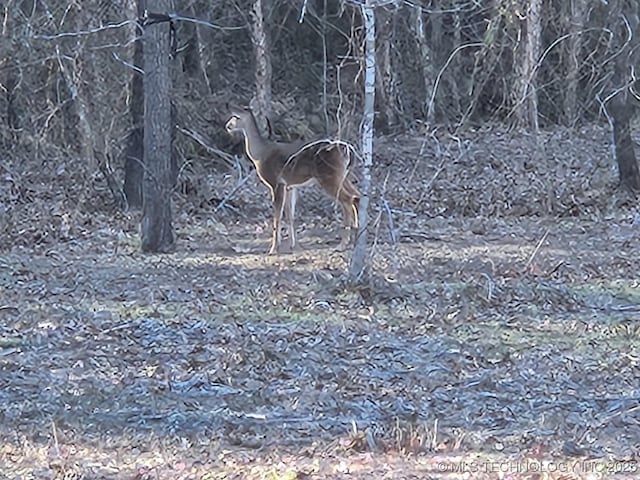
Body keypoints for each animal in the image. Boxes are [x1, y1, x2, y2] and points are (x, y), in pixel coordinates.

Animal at [225, 105, 360, 255]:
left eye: (236, 117)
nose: (228, 126)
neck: (260, 155)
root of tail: (349, 150)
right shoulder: (290, 186)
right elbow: (290, 215)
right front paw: (293, 245)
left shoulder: (276, 183)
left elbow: (277, 216)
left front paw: (273, 249)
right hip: (345, 176)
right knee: (356, 196)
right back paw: (356, 236)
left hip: (329, 177)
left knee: (347, 199)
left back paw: (343, 244)